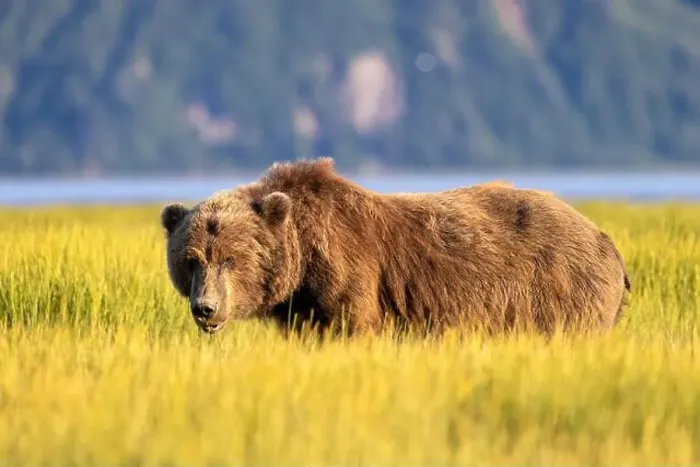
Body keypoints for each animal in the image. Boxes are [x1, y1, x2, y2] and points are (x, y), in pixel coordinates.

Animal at [159, 157, 630, 338]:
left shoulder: (351, 273)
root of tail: (607, 241)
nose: (205, 308)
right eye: (190, 260)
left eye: (231, 258)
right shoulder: (302, 305)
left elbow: (353, 325)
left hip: (561, 290)